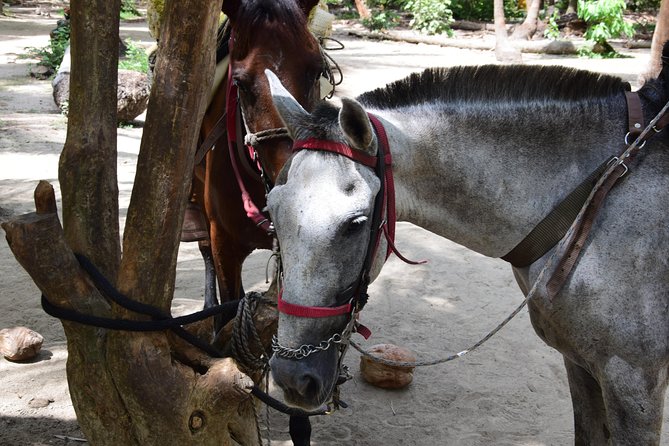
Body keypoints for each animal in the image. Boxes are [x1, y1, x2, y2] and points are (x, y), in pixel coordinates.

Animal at [264, 57, 668, 444]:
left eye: (356, 223)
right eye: (271, 212)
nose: (292, 378)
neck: (590, 204)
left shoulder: (633, 384)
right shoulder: (580, 364)